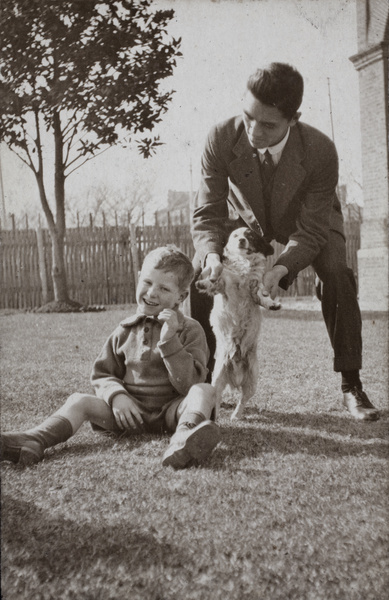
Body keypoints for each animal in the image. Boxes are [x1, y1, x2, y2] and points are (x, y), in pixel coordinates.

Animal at [197, 227, 278, 420]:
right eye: (235, 236)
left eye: (250, 236)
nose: (242, 240)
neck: (243, 264)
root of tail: (235, 375)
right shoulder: (224, 284)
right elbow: (217, 281)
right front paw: (204, 283)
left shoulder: (256, 285)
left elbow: (262, 294)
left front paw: (271, 303)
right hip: (217, 376)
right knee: (217, 398)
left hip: (252, 379)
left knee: (243, 399)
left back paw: (236, 415)